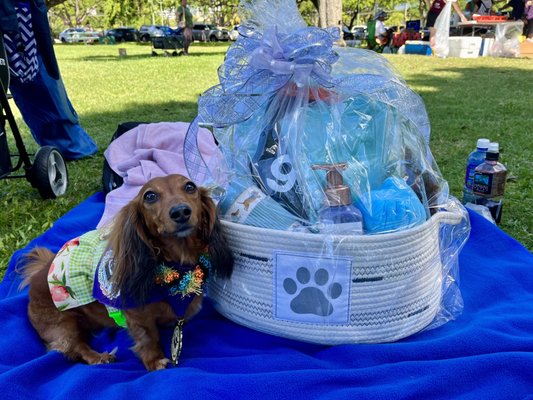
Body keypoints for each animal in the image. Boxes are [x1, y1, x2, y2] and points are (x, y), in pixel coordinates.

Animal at [19, 175, 232, 372]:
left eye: (190, 187)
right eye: (150, 196)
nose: (180, 212)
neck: (177, 267)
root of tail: (38, 275)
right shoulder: (137, 315)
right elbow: (148, 336)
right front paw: (155, 360)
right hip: (64, 323)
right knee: (75, 347)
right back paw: (98, 357)